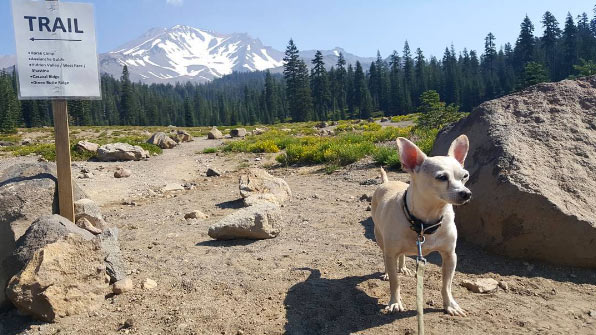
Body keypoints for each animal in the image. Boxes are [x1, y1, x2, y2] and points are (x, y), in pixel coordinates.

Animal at [370, 135, 472, 316]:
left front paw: (450, 305)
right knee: (386, 258)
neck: (425, 222)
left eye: (465, 176)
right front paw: (395, 302)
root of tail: (387, 182)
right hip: (381, 239)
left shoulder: (450, 255)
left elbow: (447, 285)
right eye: (442, 177)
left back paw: (402, 268)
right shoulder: (391, 252)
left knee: (402, 255)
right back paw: (388, 272)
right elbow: (395, 283)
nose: (466, 193)